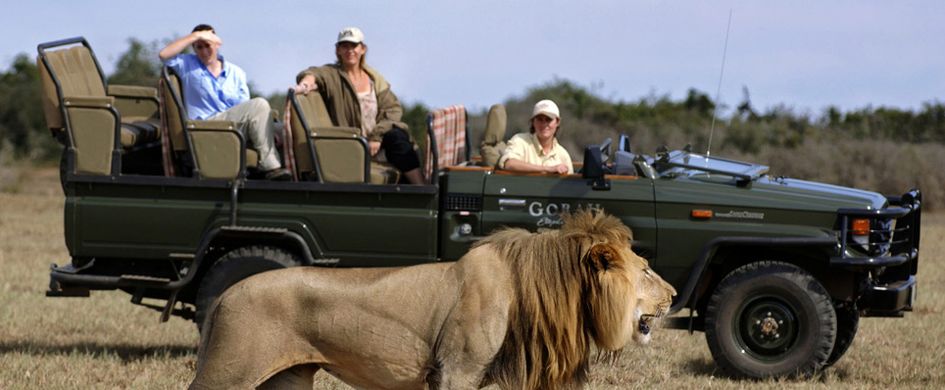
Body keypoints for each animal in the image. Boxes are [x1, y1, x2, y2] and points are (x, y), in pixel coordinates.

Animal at [192, 212, 676, 388]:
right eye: (646, 270)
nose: (673, 295)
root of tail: (223, 296)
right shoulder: (456, 371)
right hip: (227, 373)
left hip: (287, 379)